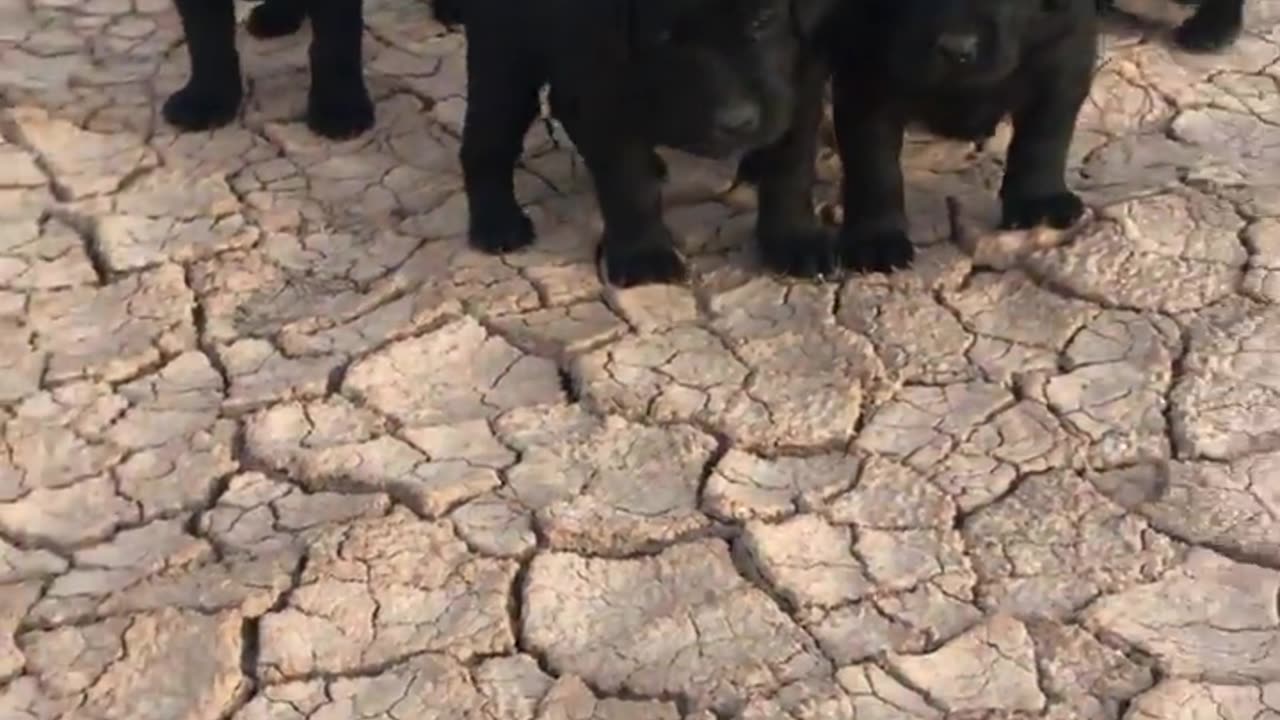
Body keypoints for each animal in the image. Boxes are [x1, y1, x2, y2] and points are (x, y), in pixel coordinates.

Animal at [440, 0, 839, 285]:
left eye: (763, 19)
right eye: (663, 35)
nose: (735, 122)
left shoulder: (802, 75)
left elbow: (790, 164)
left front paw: (793, 240)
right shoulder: (606, 81)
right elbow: (628, 181)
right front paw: (643, 255)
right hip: (506, 51)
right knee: (487, 139)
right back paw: (497, 221)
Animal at [808, 0, 1100, 270]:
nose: (956, 49)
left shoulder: (1065, 46)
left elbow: (1043, 136)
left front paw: (1040, 201)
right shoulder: (866, 68)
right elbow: (874, 164)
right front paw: (876, 237)